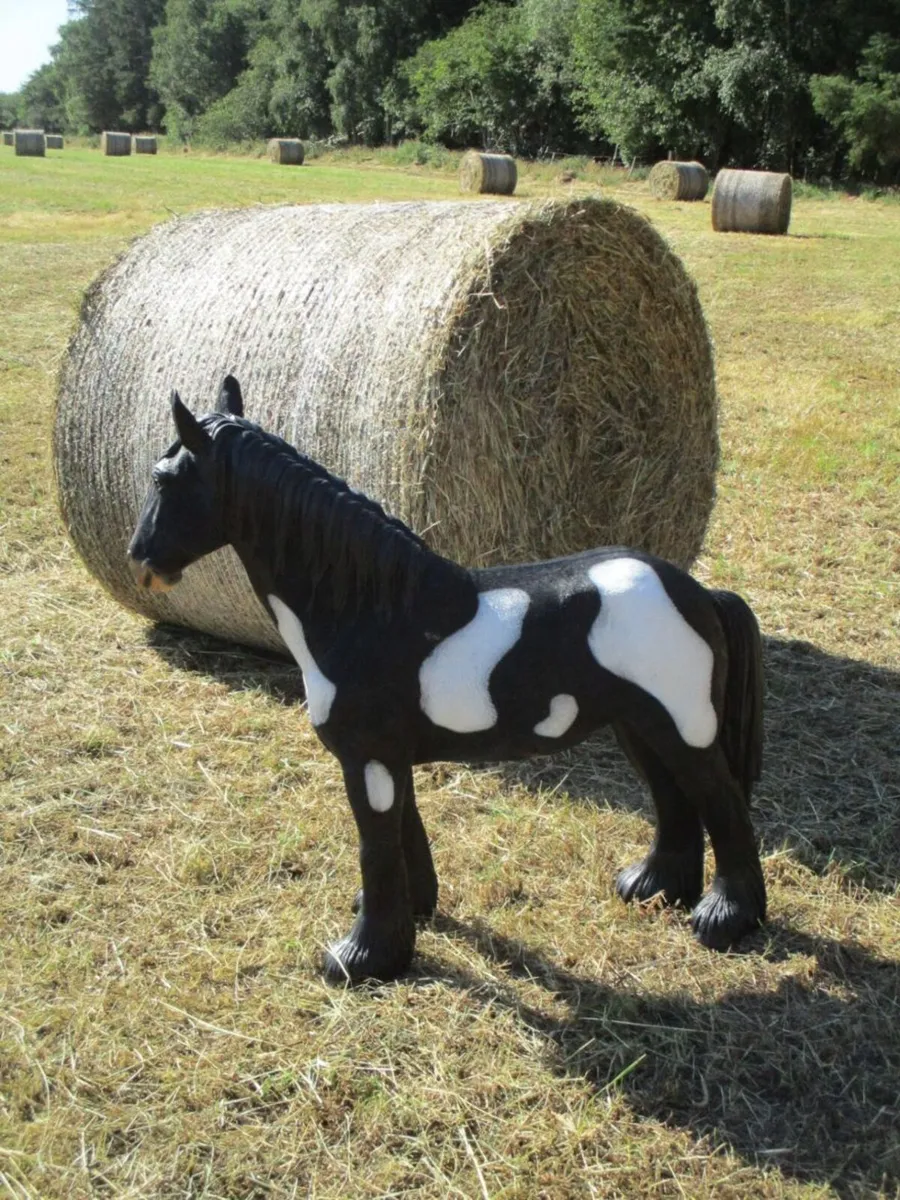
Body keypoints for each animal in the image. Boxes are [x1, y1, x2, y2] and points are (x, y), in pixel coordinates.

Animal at [127, 376, 767, 984]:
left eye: (163, 479)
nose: (141, 561)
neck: (368, 611)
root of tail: (700, 593)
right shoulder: (388, 757)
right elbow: (404, 834)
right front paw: (412, 917)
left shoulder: (368, 756)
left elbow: (375, 845)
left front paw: (362, 958)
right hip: (640, 725)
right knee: (674, 799)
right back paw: (654, 887)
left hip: (684, 726)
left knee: (723, 804)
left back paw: (726, 918)